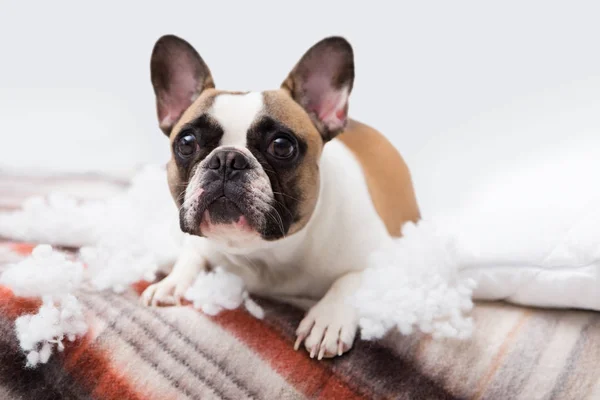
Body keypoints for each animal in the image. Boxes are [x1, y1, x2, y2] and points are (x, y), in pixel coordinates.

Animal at [142, 35, 420, 360]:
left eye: (282, 146)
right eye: (186, 142)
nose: (226, 160)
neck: (266, 253)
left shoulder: (389, 259)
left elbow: (351, 279)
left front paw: (328, 319)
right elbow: (192, 255)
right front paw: (171, 283)